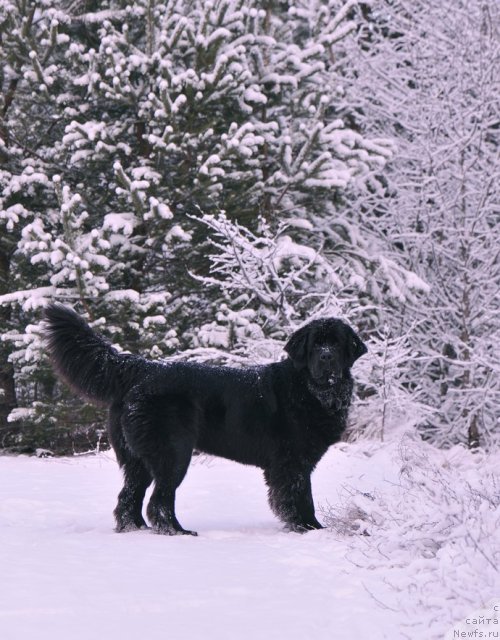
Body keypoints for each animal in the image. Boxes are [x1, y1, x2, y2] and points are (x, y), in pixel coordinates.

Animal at [44, 304, 368, 536]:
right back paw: (177, 531)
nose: (326, 357)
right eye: (315, 345)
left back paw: (136, 530)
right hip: (173, 452)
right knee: (159, 500)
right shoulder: (292, 463)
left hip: (137, 457)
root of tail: (142, 368)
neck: (312, 390)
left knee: (129, 498)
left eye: (336, 344)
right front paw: (308, 529)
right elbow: (301, 497)